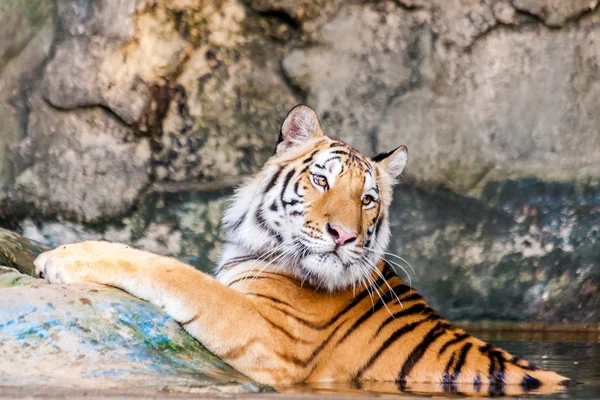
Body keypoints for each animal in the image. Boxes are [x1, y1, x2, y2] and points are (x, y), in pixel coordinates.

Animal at [34, 104, 576, 396]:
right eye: (321, 179)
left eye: (367, 200)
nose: (344, 236)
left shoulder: (266, 333)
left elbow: (173, 272)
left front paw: (61, 257)